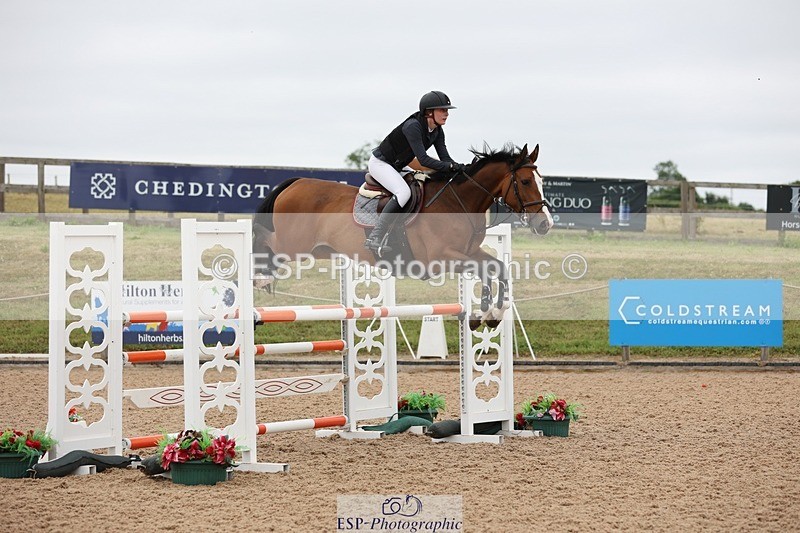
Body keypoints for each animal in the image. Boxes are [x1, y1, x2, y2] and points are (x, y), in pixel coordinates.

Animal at [253, 143, 553, 328]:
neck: (458, 202)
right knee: (265, 241)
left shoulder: (468, 253)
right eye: (525, 181)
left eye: (541, 181)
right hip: (293, 245)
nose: (545, 224)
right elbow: (485, 271)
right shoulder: (441, 258)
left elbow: (497, 267)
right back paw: (260, 277)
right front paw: (483, 311)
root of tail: (295, 182)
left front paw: (491, 314)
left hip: (320, 249)